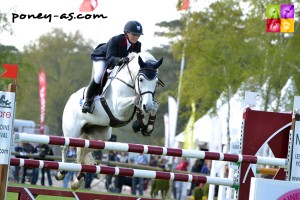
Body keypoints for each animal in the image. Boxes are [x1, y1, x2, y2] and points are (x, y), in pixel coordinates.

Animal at [56, 51, 164, 189]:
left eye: (155, 81)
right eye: (141, 79)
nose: (147, 106)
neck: (129, 82)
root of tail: (70, 99)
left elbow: (152, 105)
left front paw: (146, 127)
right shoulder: (119, 108)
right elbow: (136, 100)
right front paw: (139, 122)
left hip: (99, 136)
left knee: (85, 150)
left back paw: (78, 180)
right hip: (72, 131)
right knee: (65, 146)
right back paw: (61, 172)